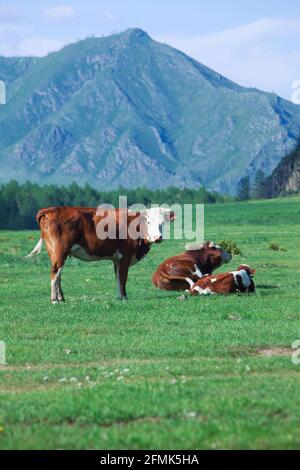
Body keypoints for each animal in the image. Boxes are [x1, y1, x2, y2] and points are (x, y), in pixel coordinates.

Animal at [26, 205, 176, 302]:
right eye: (148, 222)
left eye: (162, 223)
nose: (158, 237)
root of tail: (51, 209)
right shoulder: (125, 256)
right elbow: (123, 277)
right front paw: (124, 297)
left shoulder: (116, 258)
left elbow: (117, 277)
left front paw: (119, 296)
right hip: (60, 249)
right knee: (55, 271)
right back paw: (54, 299)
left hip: (53, 251)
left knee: (58, 273)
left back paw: (60, 298)